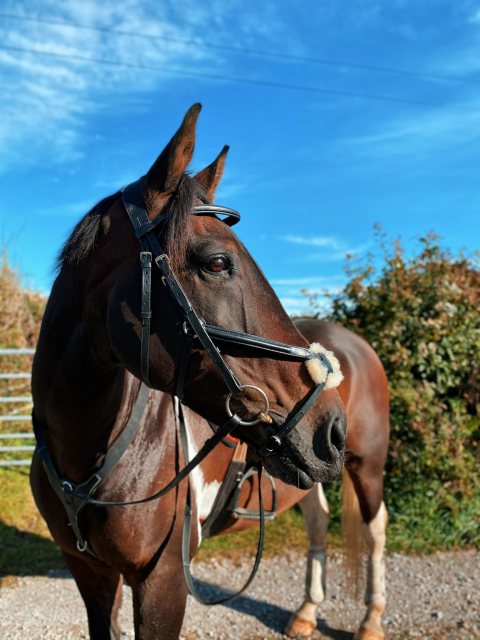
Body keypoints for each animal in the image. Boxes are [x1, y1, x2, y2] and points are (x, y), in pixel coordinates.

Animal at [30, 106, 346, 640]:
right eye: (217, 262)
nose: (333, 428)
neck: (84, 453)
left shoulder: (163, 580)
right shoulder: (90, 573)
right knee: (319, 523)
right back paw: (305, 614)